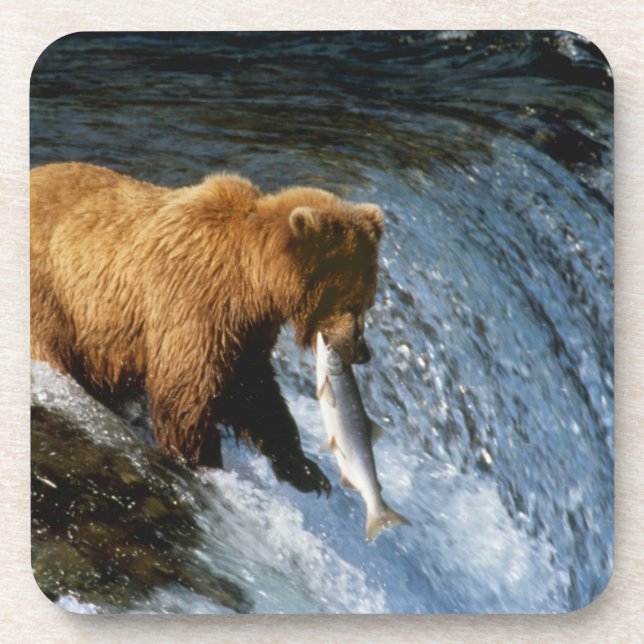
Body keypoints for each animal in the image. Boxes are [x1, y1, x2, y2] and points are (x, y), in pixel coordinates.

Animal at [30, 162, 384, 495]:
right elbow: (187, 392)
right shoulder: (195, 301)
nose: (362, 352)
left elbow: (254, 391)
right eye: (354, 303)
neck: (254, 282)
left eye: (368, 302)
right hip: (50, 299)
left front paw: (306, 470)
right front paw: (203, 462)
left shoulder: (247, 329)